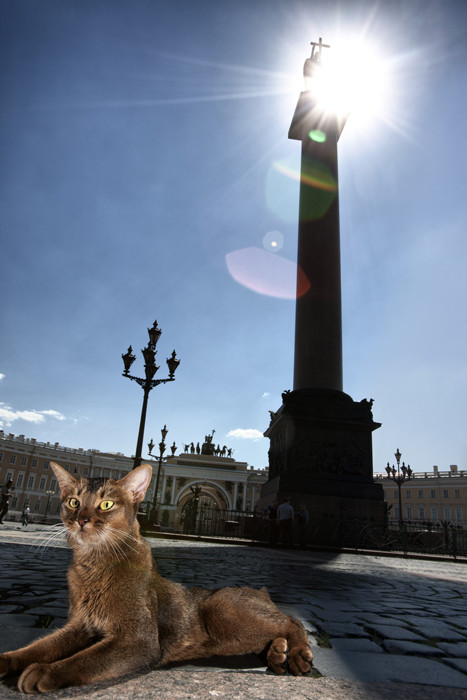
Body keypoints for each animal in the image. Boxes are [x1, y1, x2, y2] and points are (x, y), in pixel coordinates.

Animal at [0, 460, 314, 696]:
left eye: (106, 504)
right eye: (74, 502)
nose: (81, 520)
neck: (95, 568)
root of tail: (260, 590)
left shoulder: (138, 641)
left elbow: (83, 660)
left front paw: (45, 671)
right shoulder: (80, 627)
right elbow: (38, 647)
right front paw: (7, 660)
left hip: (220, 609)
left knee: (292, 621)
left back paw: (297, 654)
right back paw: (277, 653)